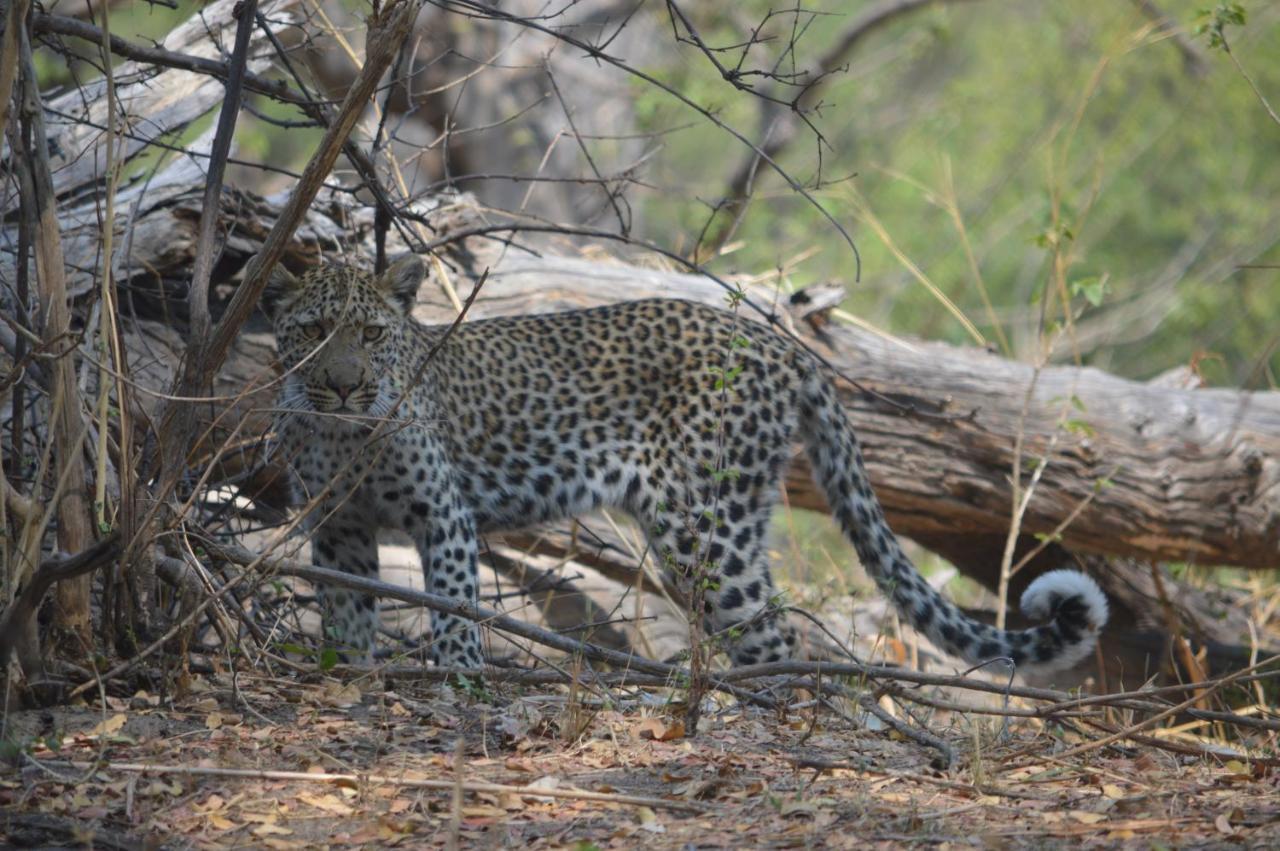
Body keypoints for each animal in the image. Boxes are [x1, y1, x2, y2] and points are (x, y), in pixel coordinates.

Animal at [257, 249, 1111, 675]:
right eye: (315, 330)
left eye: (371, 334)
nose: (344, 385)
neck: (341, 434)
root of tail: (785, 343)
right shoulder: (338, 528)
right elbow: (347, 613)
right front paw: (347, 671)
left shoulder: (445, 516)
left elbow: (458, 612)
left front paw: (462, 682)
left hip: (706, 529)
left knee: (779, 640)